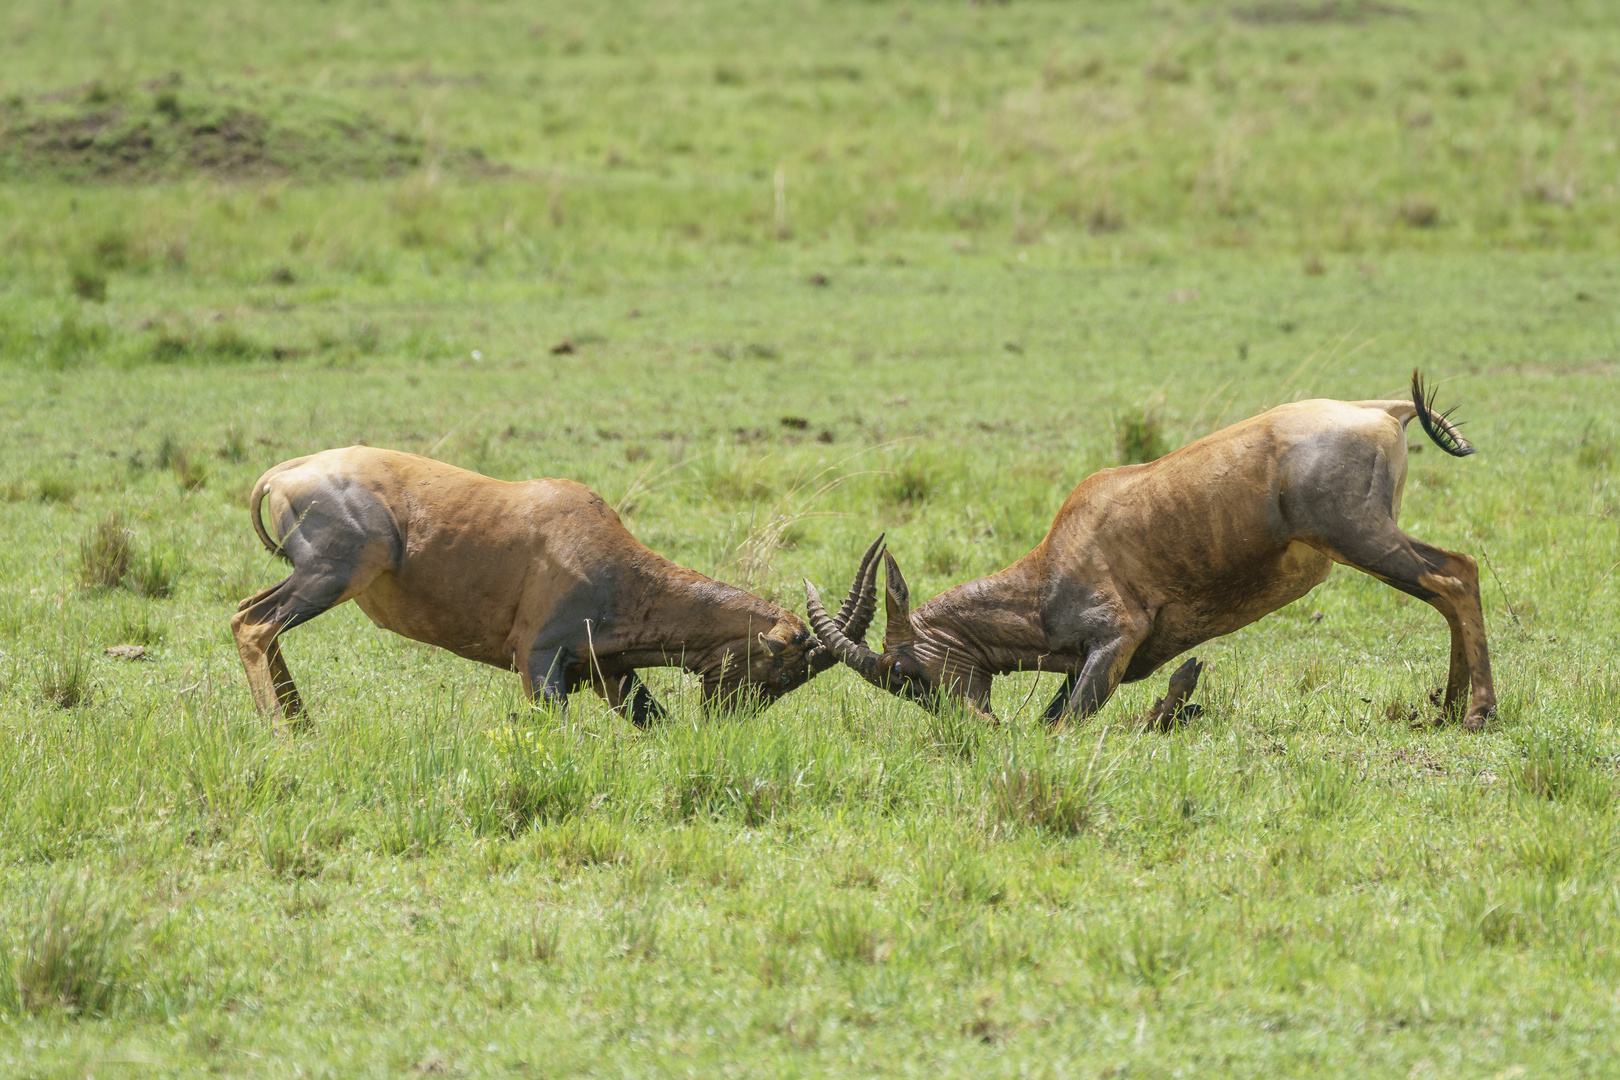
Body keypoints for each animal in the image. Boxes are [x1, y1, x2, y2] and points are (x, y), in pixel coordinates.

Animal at [230, 443, 887, 731]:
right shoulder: (538, 660)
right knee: (253, 624)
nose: (722, 728)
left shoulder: (606, 672)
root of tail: (286, 472)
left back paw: (304, 725)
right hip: (327, 579)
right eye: (782, 668)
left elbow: (652, 720)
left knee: (250, 615)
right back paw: (282, 731)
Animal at [803, 374, 1496, 735]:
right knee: (1455, 575)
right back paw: (1446, 710)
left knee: (1455, 579)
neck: (1056, 558)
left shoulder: (1117, 637)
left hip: (1359, 537)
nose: (976, 727)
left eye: (902, 673)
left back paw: (1476, 714)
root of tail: (1381, 409)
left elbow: (1065, 724)